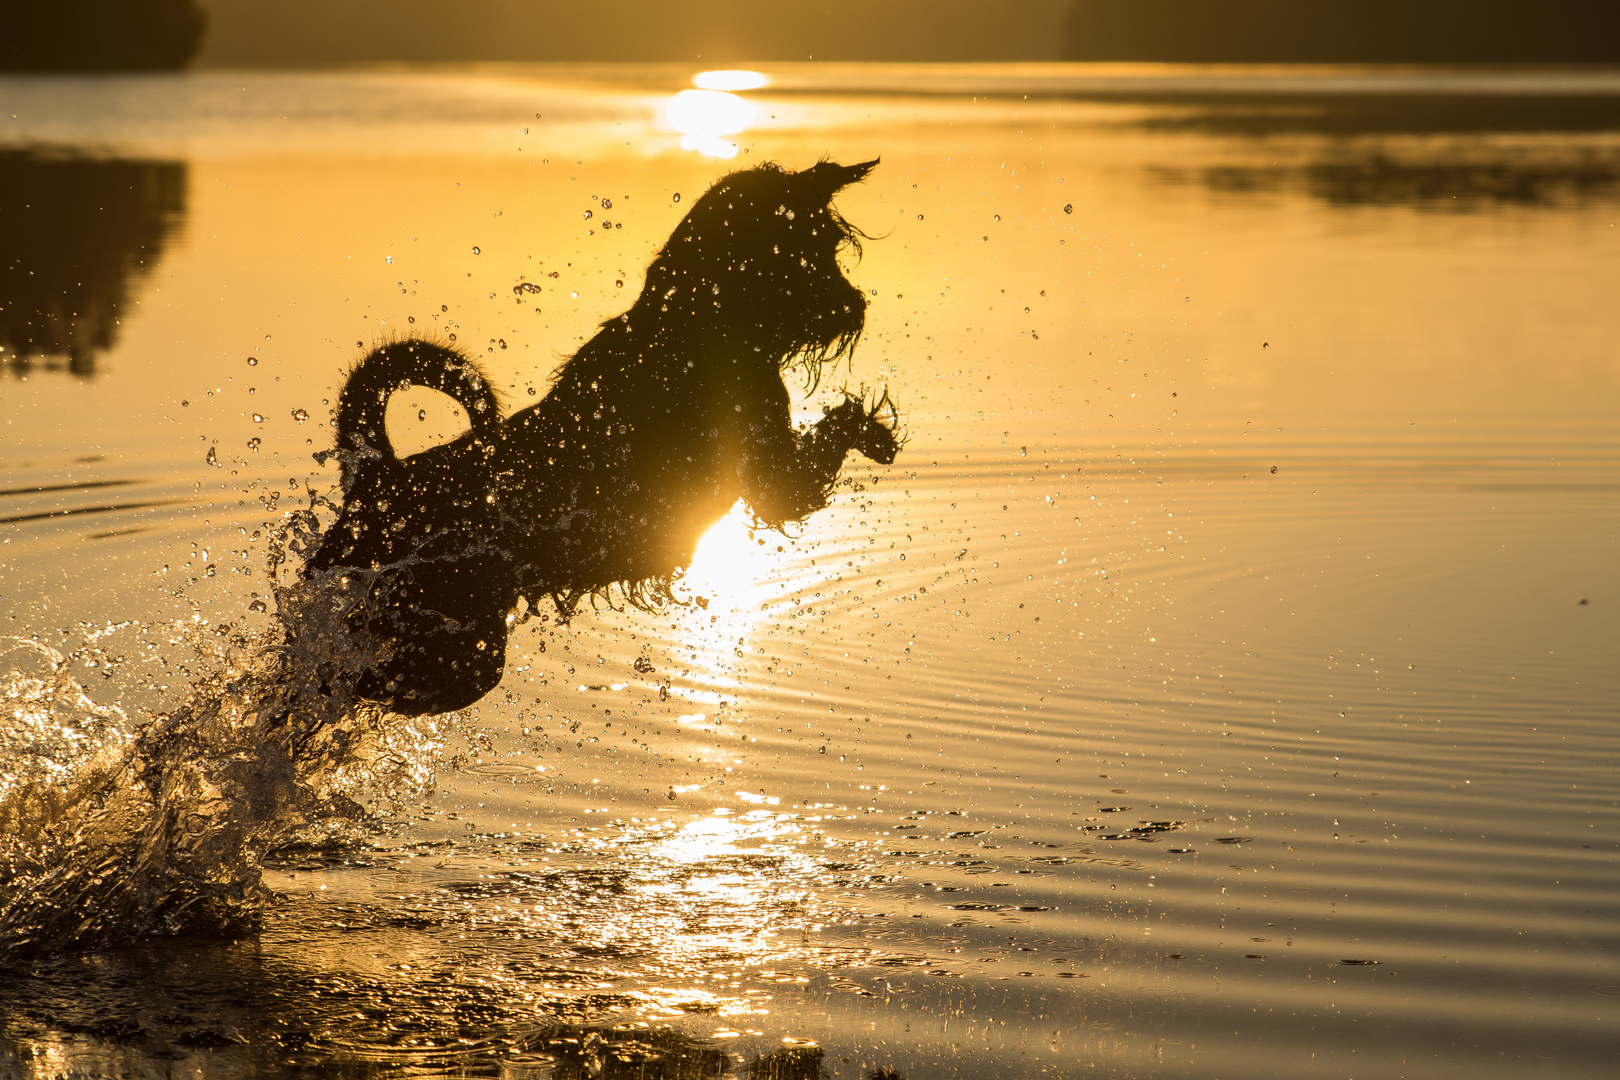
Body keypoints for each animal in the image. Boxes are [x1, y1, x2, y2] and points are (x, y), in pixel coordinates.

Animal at [304, 158, 907, 718]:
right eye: (811, 246)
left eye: (831, 243)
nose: (854, 306)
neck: (699, 322)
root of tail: (377, 474)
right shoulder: (775, 481)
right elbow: (828, 439)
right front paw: (875, 433)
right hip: (447, 648)